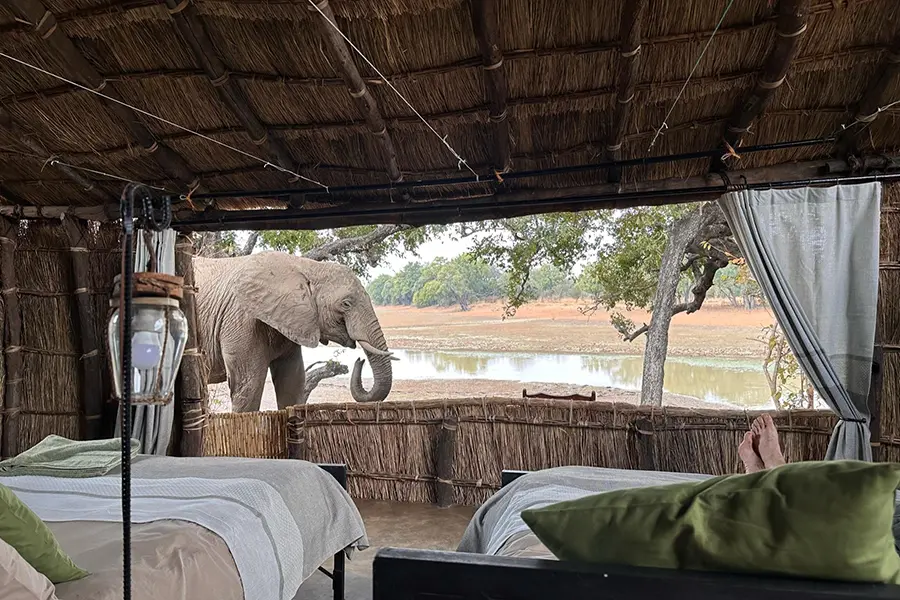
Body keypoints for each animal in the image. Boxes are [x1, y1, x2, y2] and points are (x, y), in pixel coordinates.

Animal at [193, 251, 395, 412]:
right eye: (346, 304)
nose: (359, 360)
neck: (307, 266)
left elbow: (292, 382)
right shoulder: (242, 319)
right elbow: (248, 385)